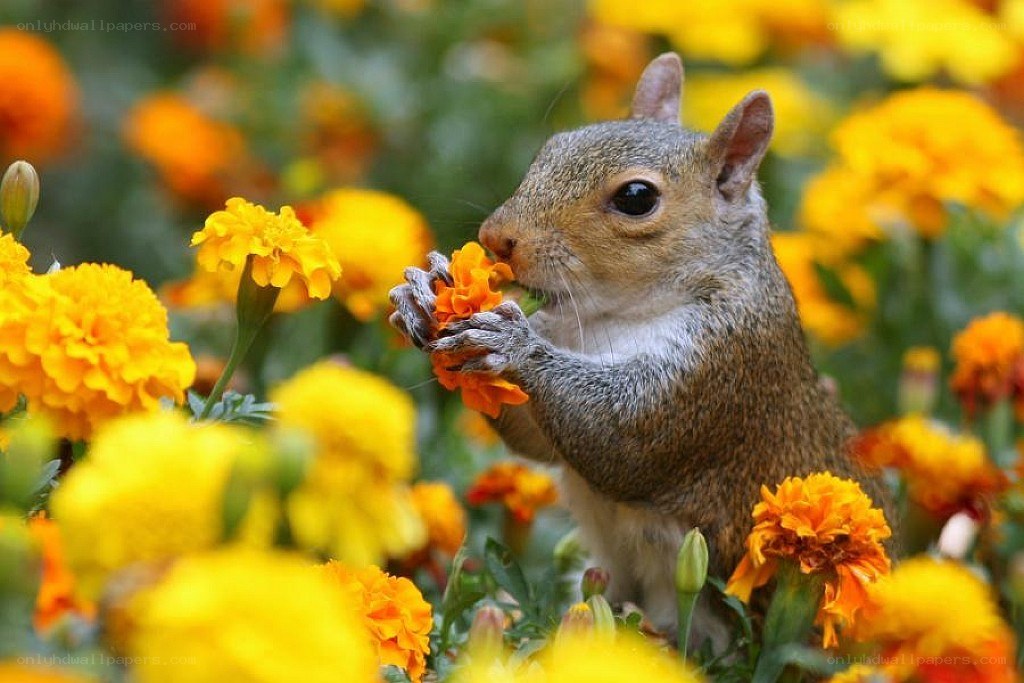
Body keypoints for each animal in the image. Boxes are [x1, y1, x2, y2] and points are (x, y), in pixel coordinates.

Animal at [389, 52, 892, 644]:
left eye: (637, 198)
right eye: (553, 146)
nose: (496, 239)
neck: (613, 316)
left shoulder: (716, 370)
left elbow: (620, 438)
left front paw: (512, 343)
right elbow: (538, 442)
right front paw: (422, 291)